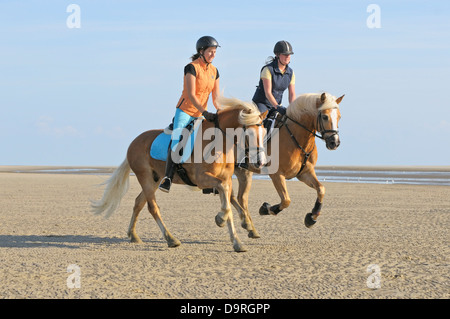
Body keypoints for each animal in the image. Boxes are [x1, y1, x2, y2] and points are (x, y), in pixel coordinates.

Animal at [91, 97, 268, 252]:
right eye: (250, 134)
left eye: (264, 132)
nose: (261, 162)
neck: (218, 143)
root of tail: (133, 143)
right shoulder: (203, 179)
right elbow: (226, 198)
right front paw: (222, 219)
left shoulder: (225, 179)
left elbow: (229, 202)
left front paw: (238, 239)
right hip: (145, 177)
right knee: (152, 207)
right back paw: (171, 239)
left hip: (155, 179)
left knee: (139, 203)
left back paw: (133, 235)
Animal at [230, 91, 342, 239]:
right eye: (324, 116)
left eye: (339, 117)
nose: (334, 143)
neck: (296, 137)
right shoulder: (277, 175)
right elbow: (286, 200)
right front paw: (267, 209)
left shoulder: (305, 173)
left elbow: (321, 189)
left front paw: (311, 217)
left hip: (244, 172)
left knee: (241, 198)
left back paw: (251, 229)